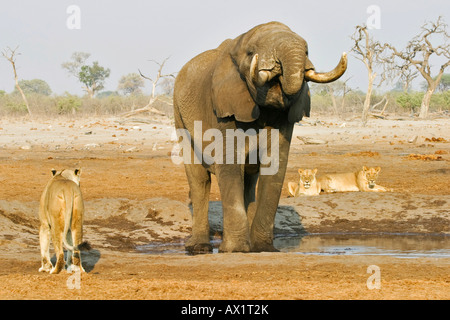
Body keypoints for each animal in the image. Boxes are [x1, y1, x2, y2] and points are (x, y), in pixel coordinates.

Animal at [174, 21, 346, 252]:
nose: (276, 69)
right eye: (251, 53)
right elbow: (229, 166)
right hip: (179, 116)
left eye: (308, 51)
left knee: (248, 182)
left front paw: (263, 249)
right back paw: (198, 248)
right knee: (199, 180)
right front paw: (236, 250)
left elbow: (274, 169)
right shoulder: (222, 108)